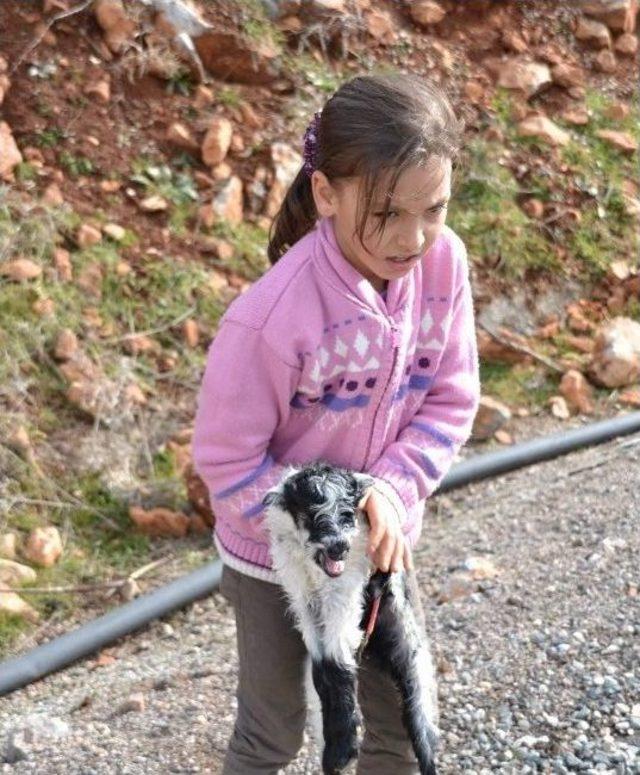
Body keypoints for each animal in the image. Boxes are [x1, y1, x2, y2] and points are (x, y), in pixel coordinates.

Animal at [262, 464, 438, 772]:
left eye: (348, 512)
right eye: (311, 514)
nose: (339, 547)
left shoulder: (344, 592)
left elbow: (336, 660)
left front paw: (343, 750)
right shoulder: (305, 603)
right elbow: (322, 668)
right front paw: (335, 752)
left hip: (412, 656)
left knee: (420, 725)